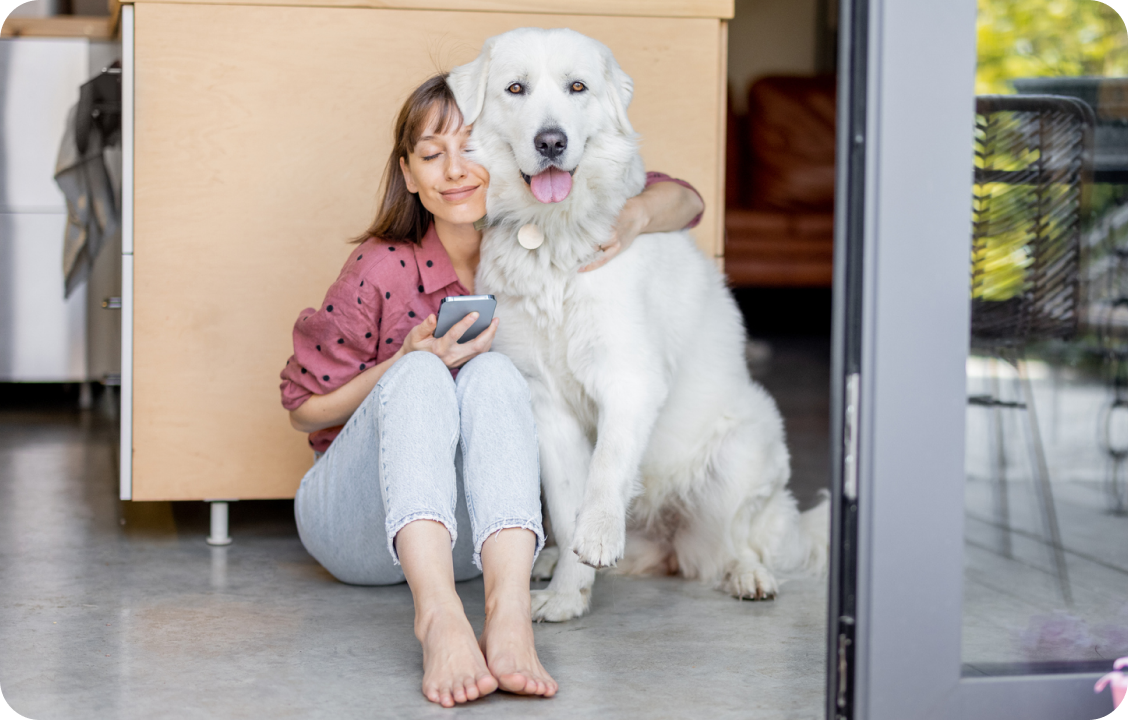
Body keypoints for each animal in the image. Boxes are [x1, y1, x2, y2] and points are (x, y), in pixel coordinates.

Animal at [448, 28, 830, 622]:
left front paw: (599, 536)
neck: (552, 237)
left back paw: (748, 575)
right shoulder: (546, 402)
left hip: (747, 447)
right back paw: (550, 561)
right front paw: (568, 596)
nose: (551, 142)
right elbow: (568, 505)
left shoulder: (628, 380)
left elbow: (605, 471)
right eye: (516, 89)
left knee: (738, 541)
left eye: (577, 87)